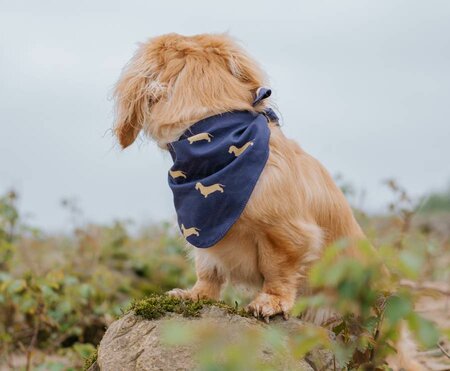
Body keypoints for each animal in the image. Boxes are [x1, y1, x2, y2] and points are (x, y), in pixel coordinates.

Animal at [112, 33, 422, 370]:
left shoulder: (287, 234)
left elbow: (278, 270)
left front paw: (271, 302)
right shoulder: (204, 240)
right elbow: (208, 273)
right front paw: (196, 295)